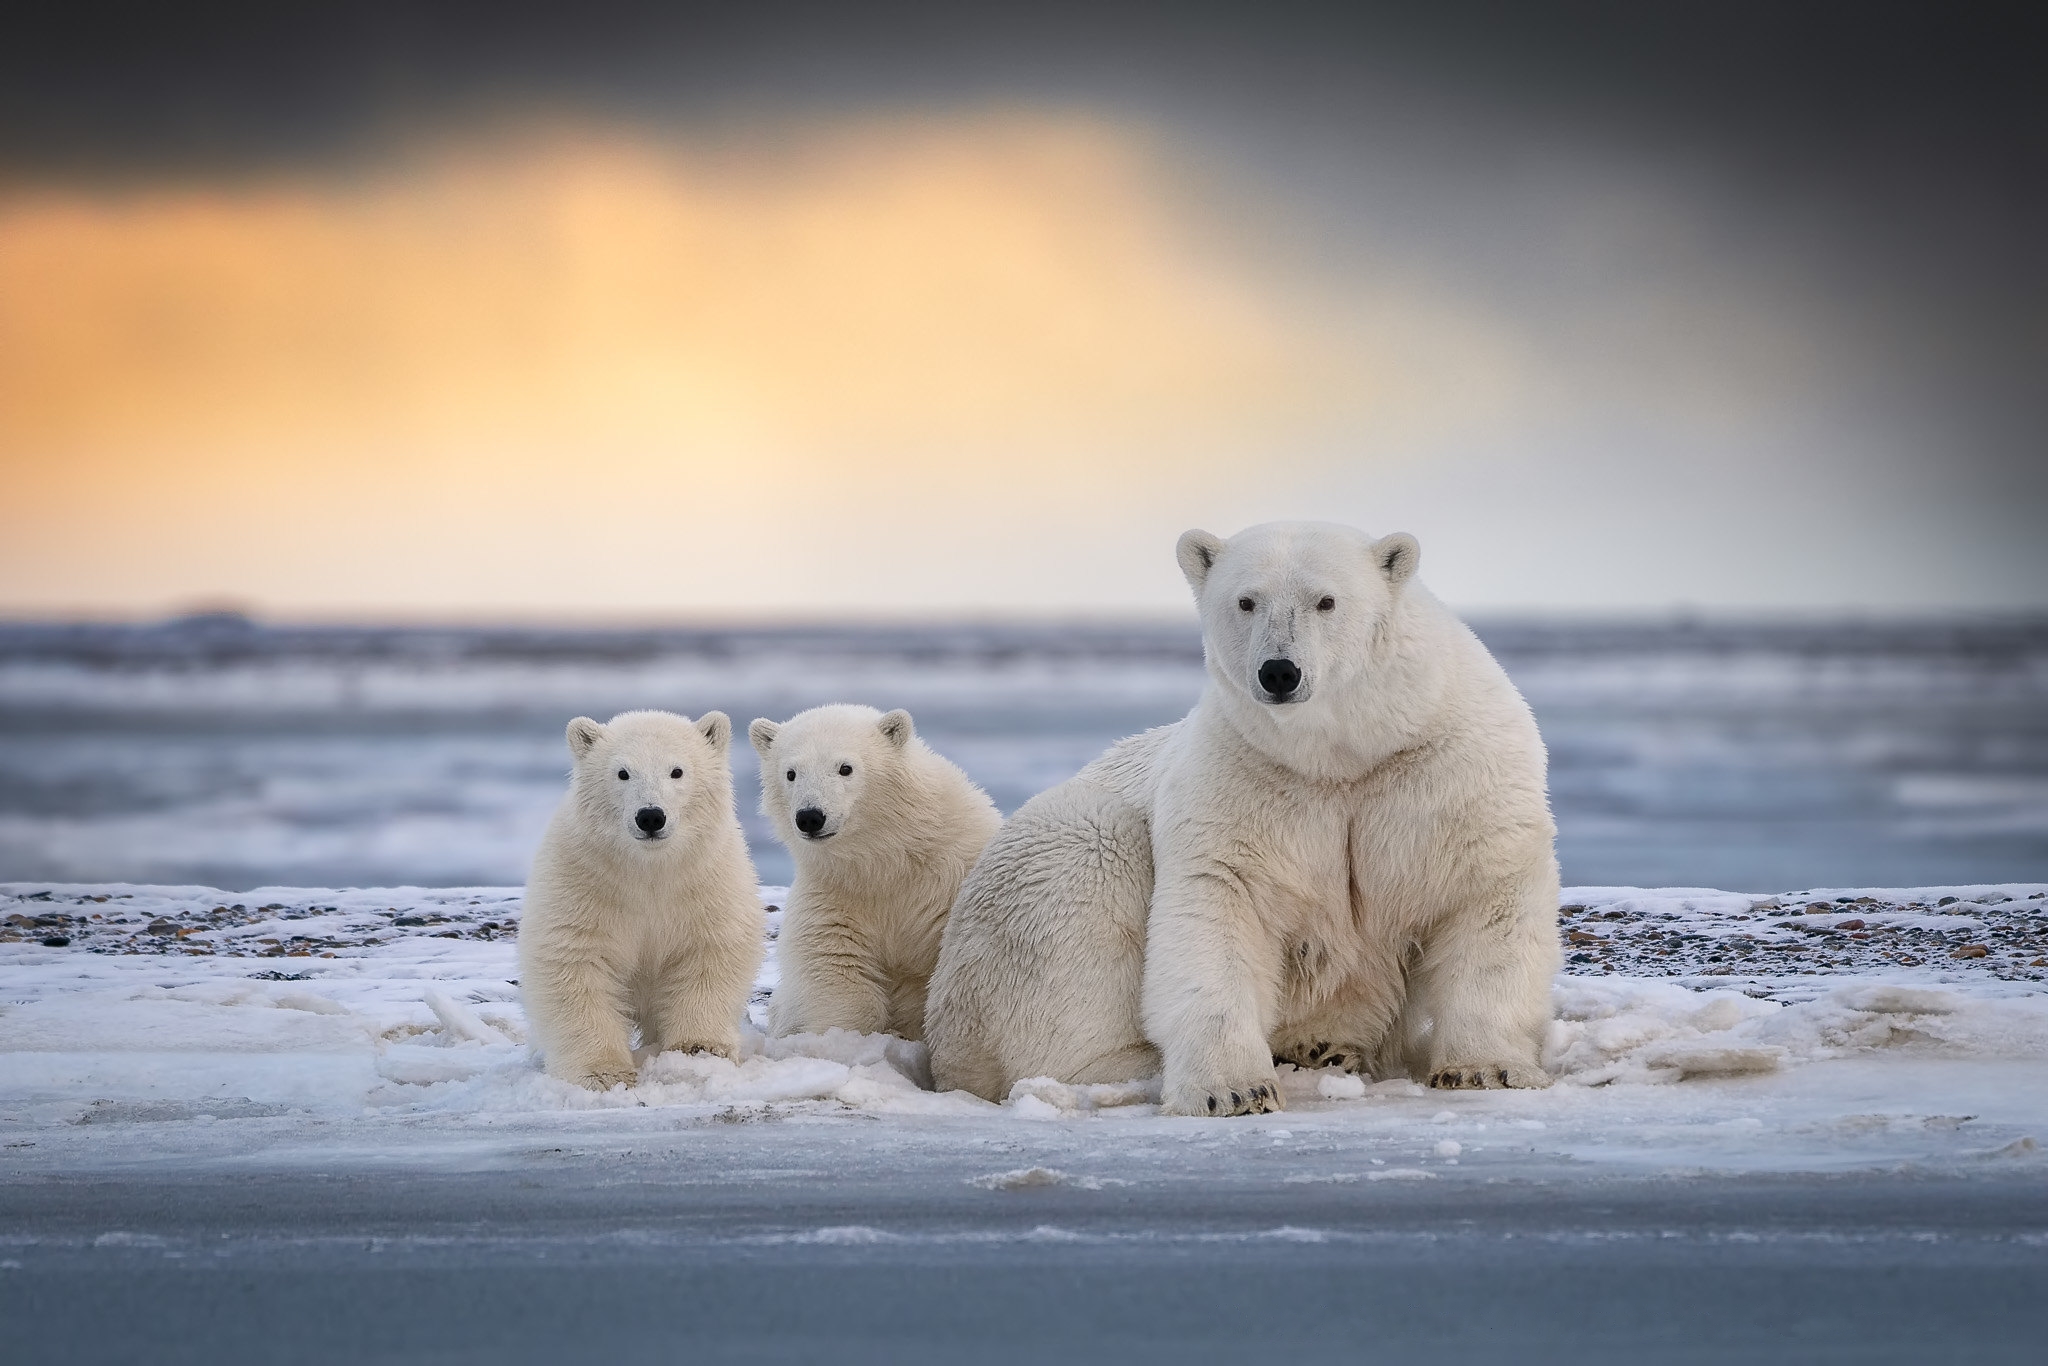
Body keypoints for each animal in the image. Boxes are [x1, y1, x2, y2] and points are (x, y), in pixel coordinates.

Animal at [921, 518, 1556, 1114]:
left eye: (1326, 600)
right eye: (1246, 600)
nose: (1279, 671)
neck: (1345, 756)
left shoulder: (1446, 773)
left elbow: (1487, 894)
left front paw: (1485, 1069)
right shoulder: (1241, 778)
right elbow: (1219, 912)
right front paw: (1231, 1090)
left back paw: (1325, 1048)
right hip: (1046, 869)